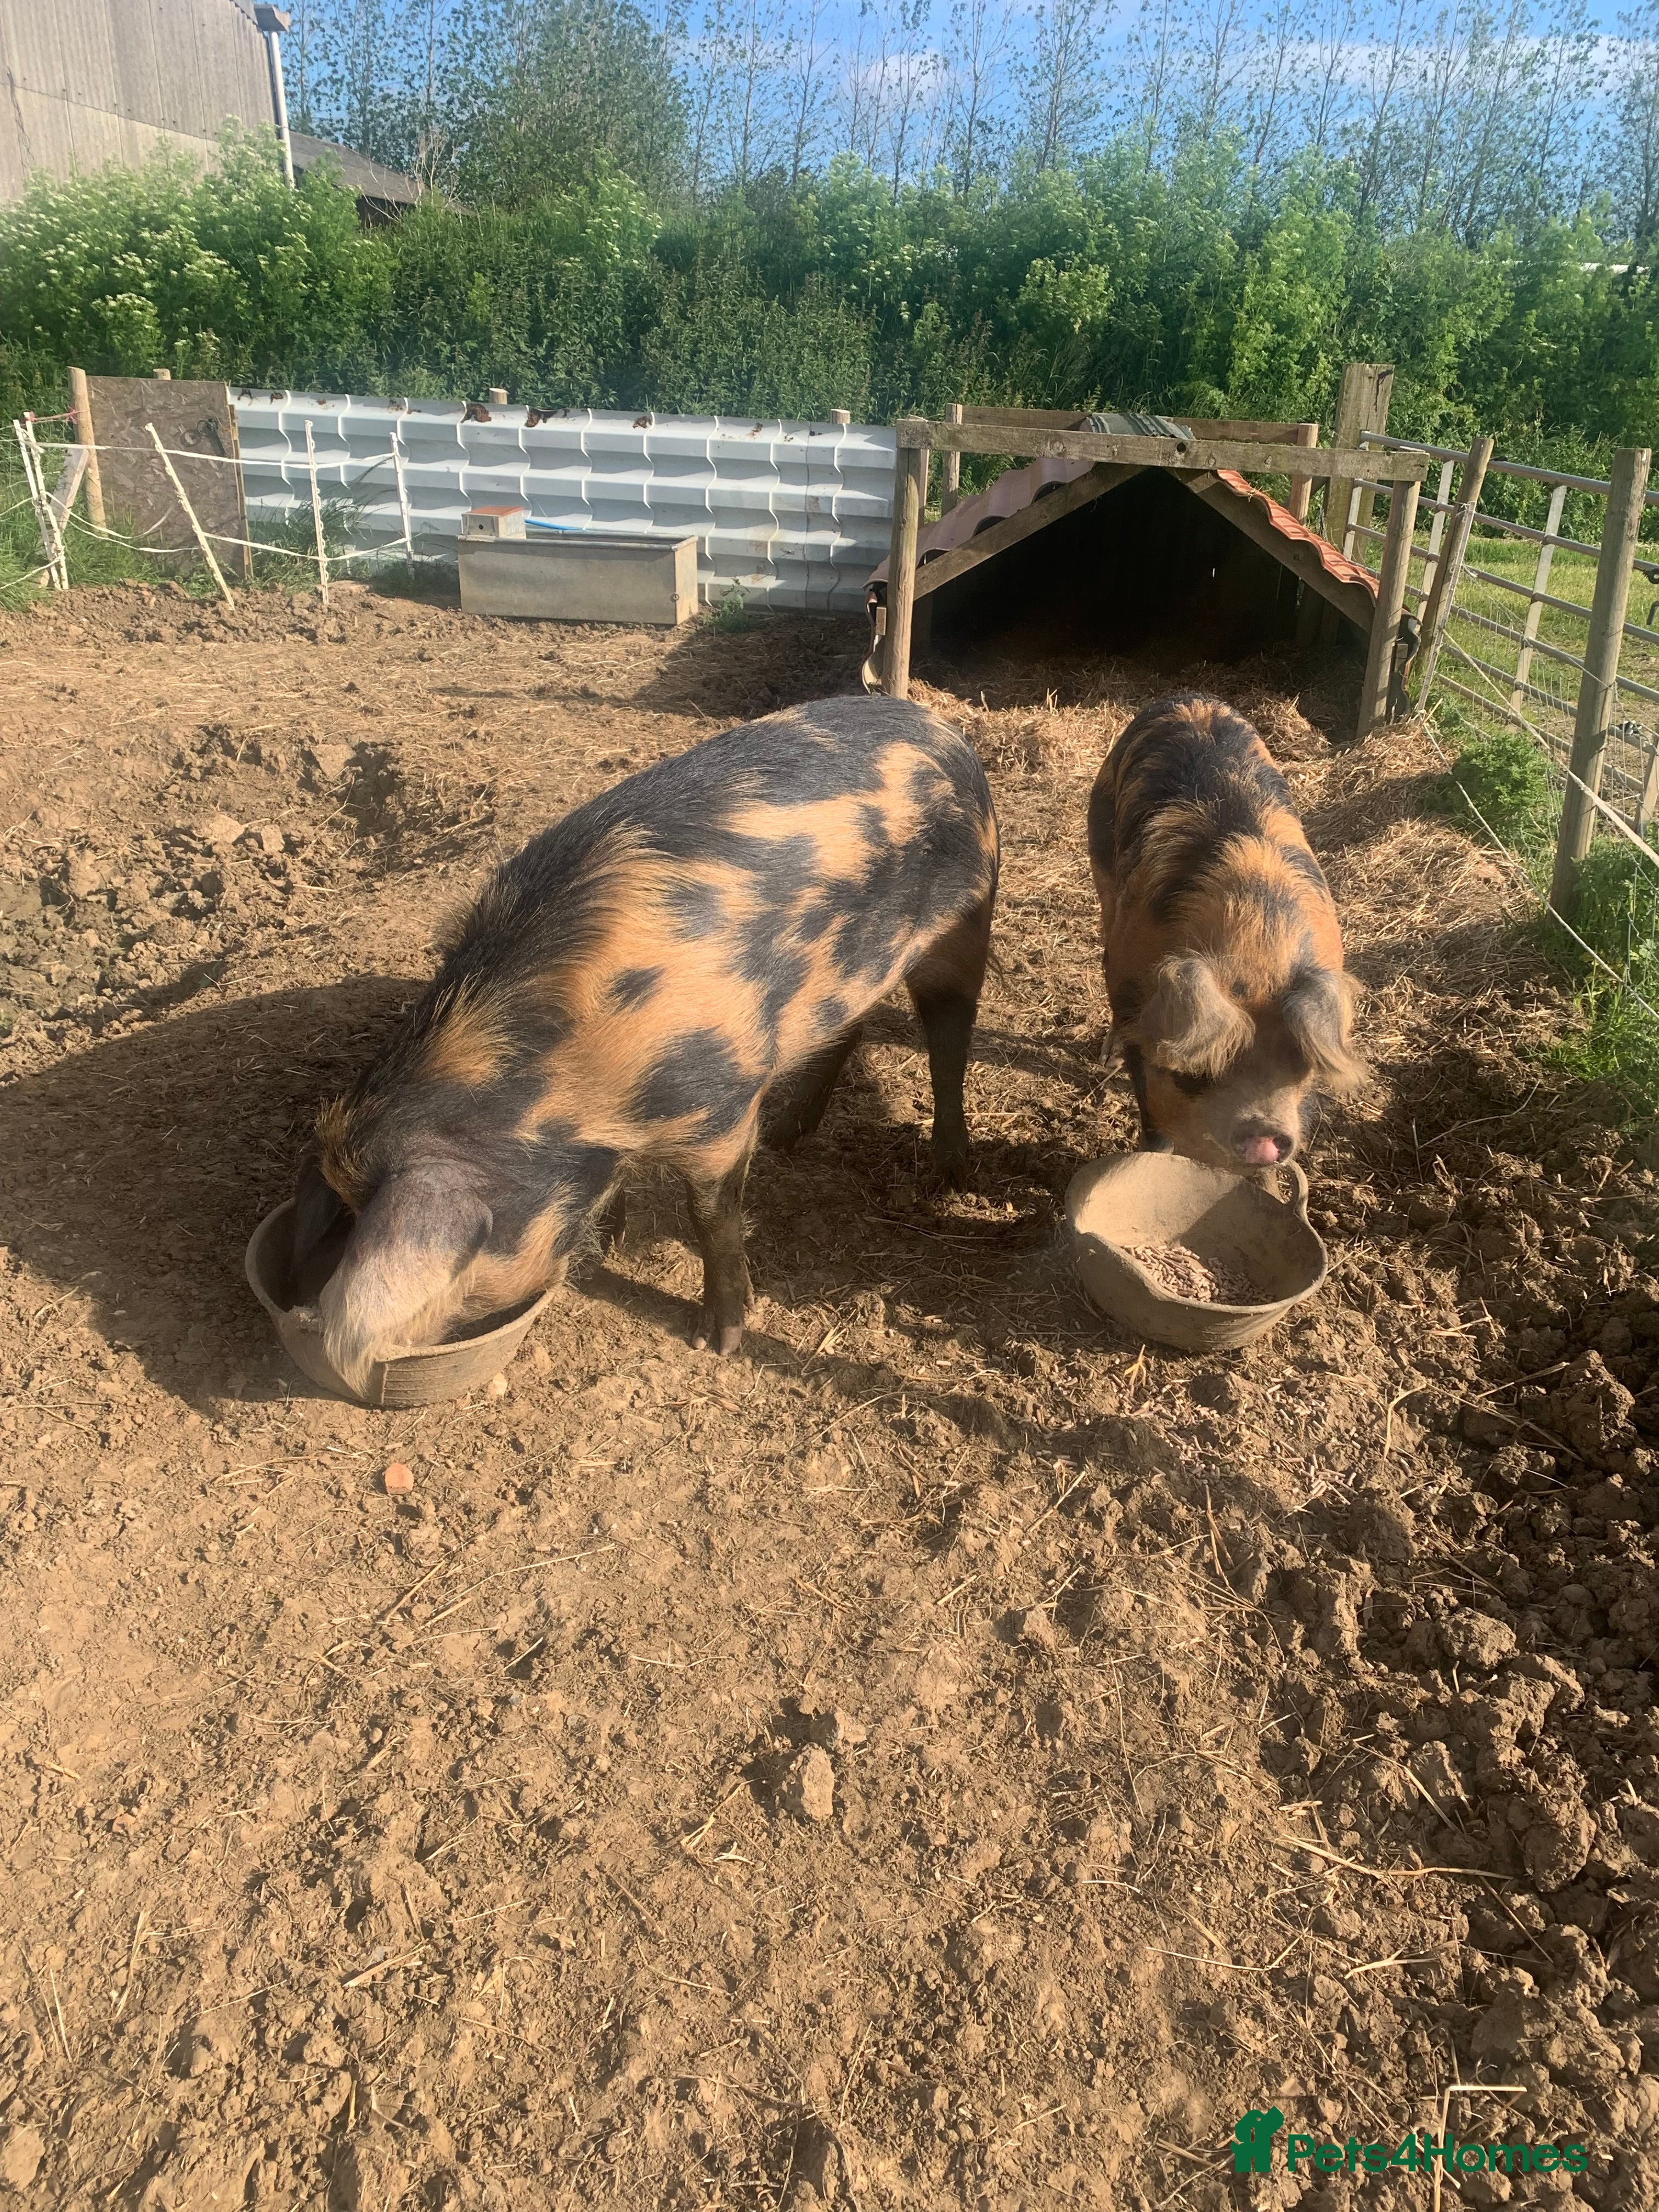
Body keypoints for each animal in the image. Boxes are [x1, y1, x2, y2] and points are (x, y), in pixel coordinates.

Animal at [288, 695, 999, 1391]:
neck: (565, 1088)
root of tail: (942, 729)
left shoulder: (720, 1110)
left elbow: (711, 1218)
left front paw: (719, 1340)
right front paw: (614, 1241)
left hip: (968, 920)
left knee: (949, 1040)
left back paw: (951, 1173)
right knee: (852, 1027)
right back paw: (790, 1134)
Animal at [1086, 693, 1360, 1169]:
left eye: (1300, 1063)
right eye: (1202, 1071)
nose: (1263, 1137)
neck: (1257, 944)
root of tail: (1191, 698)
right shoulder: (1136, 1006)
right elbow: (1154, 1115)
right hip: (1099, 843)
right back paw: (1107, 1059)